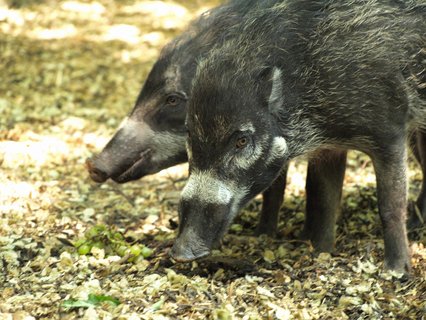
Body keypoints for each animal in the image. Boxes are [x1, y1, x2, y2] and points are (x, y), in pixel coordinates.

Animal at [174, 0, 426, 276]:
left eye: (241, 141)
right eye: (189, 132)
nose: (181, 253)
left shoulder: (390, 130)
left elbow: (390, 203)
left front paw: (396, 272)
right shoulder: (330, 147)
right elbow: (322, 196)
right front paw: (320, 252)